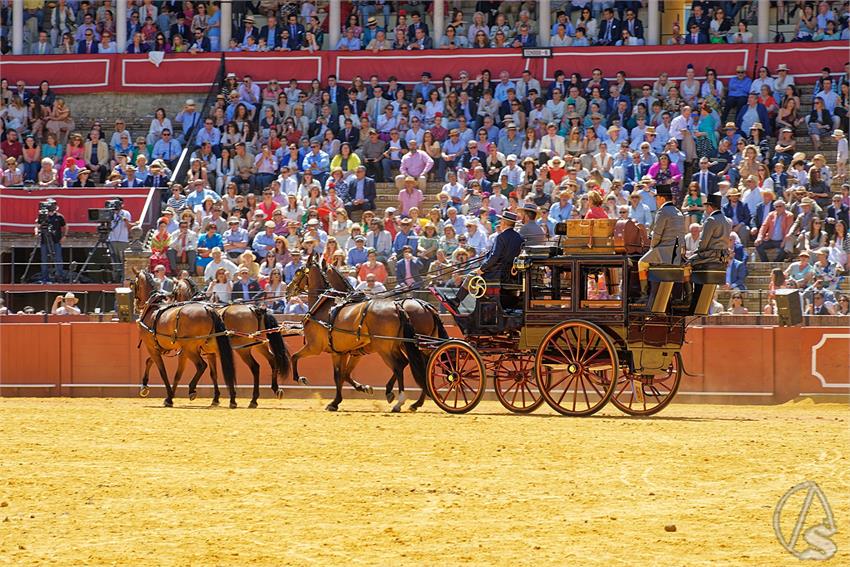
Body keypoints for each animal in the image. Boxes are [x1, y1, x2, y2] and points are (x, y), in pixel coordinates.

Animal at [132, 270, 238, 408]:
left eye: (134, 285)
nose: (135, 305)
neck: (153, 308)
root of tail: (209, 309)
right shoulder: (163, 348)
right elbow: (153, 363)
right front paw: (146, 386)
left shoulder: (153, 347)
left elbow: (163, 371)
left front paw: (168, 397)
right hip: (215, 348)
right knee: (228, 367)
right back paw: (232, 399)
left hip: (190, 349)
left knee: (201, 365)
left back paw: (192, 389)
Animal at [284, 258, 430, 412]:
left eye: (298, 272)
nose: (288, 290)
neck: (325, 306)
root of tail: (398, 307)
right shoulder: (343, 352)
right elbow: (341, 375)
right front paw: (350, 394)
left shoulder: (314, 347)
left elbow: (295, 357)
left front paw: (301, 379)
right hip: (395, 346)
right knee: (411, 365)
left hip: (385, 348)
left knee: (400, 365)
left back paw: (400, 400)